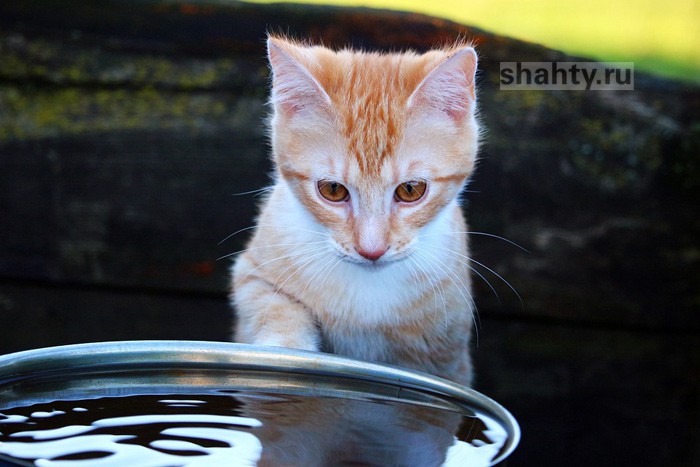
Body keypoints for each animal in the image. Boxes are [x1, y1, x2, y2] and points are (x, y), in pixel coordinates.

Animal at [232, 35, 478, 388]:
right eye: (333, 190)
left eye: (411, 190)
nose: (371, 250)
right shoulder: (253, 272)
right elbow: (274, 307)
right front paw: (286, 352)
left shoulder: (448, 354)